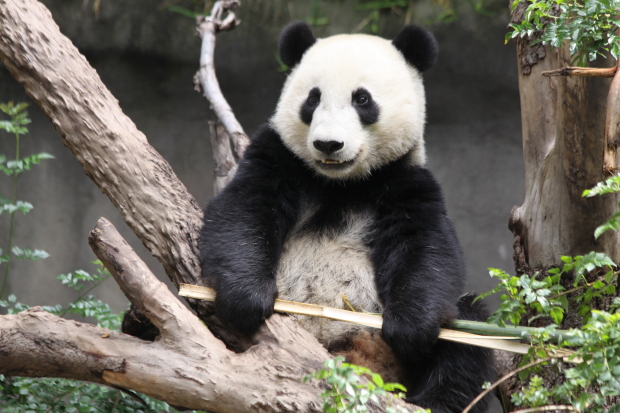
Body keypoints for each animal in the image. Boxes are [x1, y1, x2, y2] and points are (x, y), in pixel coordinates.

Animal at [201, 22, 496, 412]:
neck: (340, 183)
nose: (329, 144)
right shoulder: (278, 158)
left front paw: (409, 328)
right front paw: (247, 299)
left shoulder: (404, 181)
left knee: (468, 331)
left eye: (362, 100)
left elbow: (426, 248)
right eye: (312, 99)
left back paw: (434, 400)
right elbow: (243, 211)